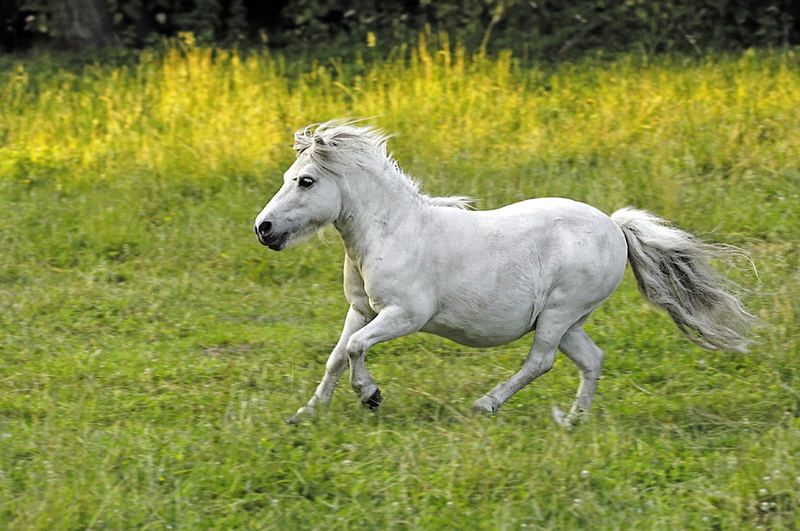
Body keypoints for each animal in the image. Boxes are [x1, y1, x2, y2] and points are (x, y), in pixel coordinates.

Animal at [253, 122, 752, 426]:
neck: (391, 231)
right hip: (569, 321)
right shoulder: (362, 309)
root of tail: (616, 227)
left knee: (541, 361)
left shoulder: (406, 315)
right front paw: (306, 414)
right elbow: (338, 356)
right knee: (591, 360)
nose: (264, 229)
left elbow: (356, 349)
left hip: (559, 312)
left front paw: (371, 396)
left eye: (306, 181)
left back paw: (486, 404)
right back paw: (574, 421)